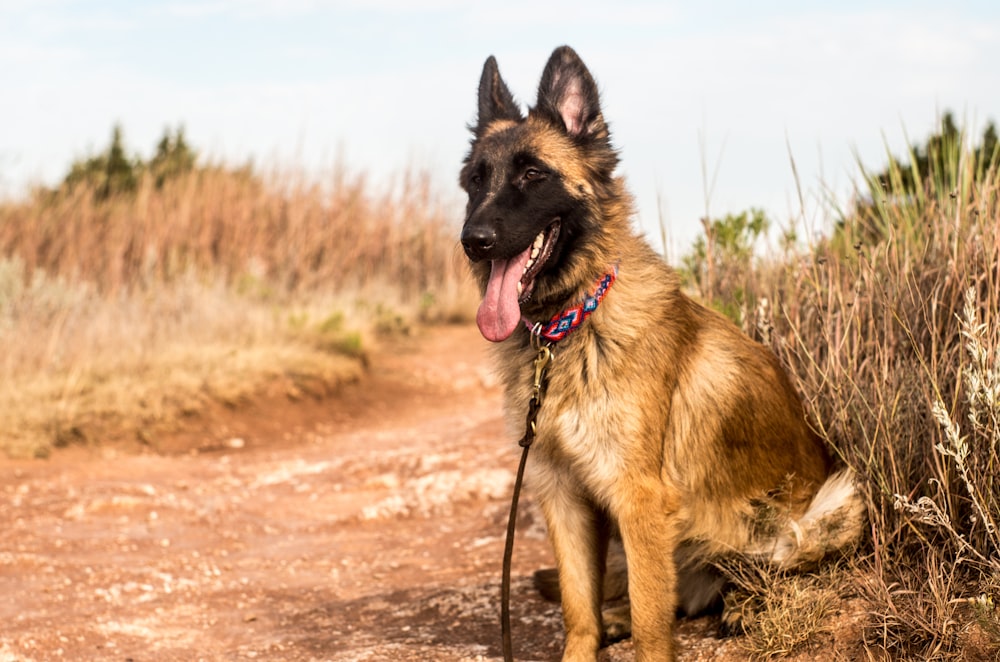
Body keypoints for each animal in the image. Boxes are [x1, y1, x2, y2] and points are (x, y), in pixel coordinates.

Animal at [458, 44, 864, 660]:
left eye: (532, 174)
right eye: (475, 180)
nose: (472, 240)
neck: (571, 326)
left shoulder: (637, 500)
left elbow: (653, 628)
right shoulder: (562, 494)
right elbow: (578, 605)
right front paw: (589, 640)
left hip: (833, 508)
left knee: (756, 573)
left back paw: (745, 604)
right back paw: (620, 617)